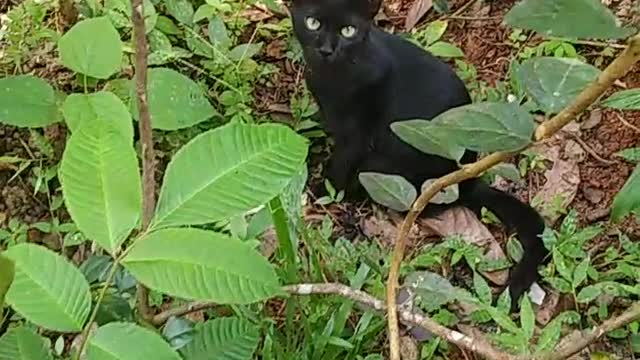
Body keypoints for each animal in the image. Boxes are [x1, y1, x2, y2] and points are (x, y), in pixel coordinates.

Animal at [292, 0, 548, 310]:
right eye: (313, 23)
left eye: (348, 30)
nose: (327, 49)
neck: (333, 79)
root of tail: (466, 181)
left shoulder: (357, 134)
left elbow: (339, 166)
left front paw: (319, 192)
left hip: (386, 169)